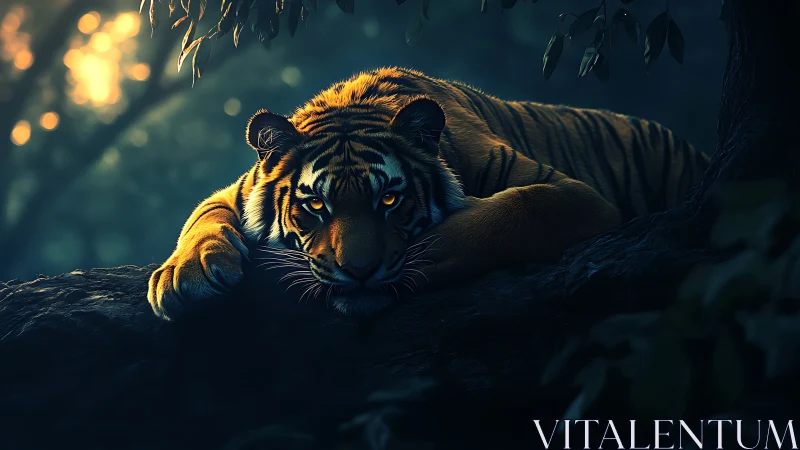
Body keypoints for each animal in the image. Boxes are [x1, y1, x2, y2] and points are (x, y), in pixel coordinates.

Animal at [147, 67, 710, 320]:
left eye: (389, 201)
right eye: (315, 206)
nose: (359, 271)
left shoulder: (573, 194)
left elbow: (510, 210)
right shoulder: (237, 190)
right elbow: (201, 218)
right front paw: (184, 276)